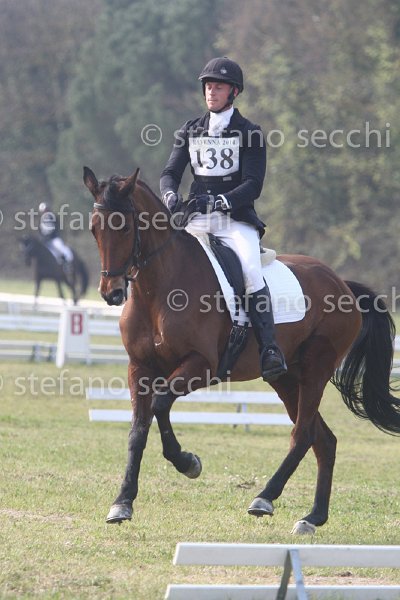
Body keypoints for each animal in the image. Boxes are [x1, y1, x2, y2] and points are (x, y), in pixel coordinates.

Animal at [83, 166, 400, 534]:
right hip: (285, 378)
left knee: (303, 434)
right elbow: (138, 430)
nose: (111, 292)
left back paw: (265, 498)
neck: (157, 290)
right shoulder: (139, 368)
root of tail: (341, 284)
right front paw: (122, 502)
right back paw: (313, 517)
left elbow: (161, 404)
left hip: (316, 370)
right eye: (94, 228)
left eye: (126, 227)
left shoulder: (201, 365)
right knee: (324, 440)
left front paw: (188, 462)